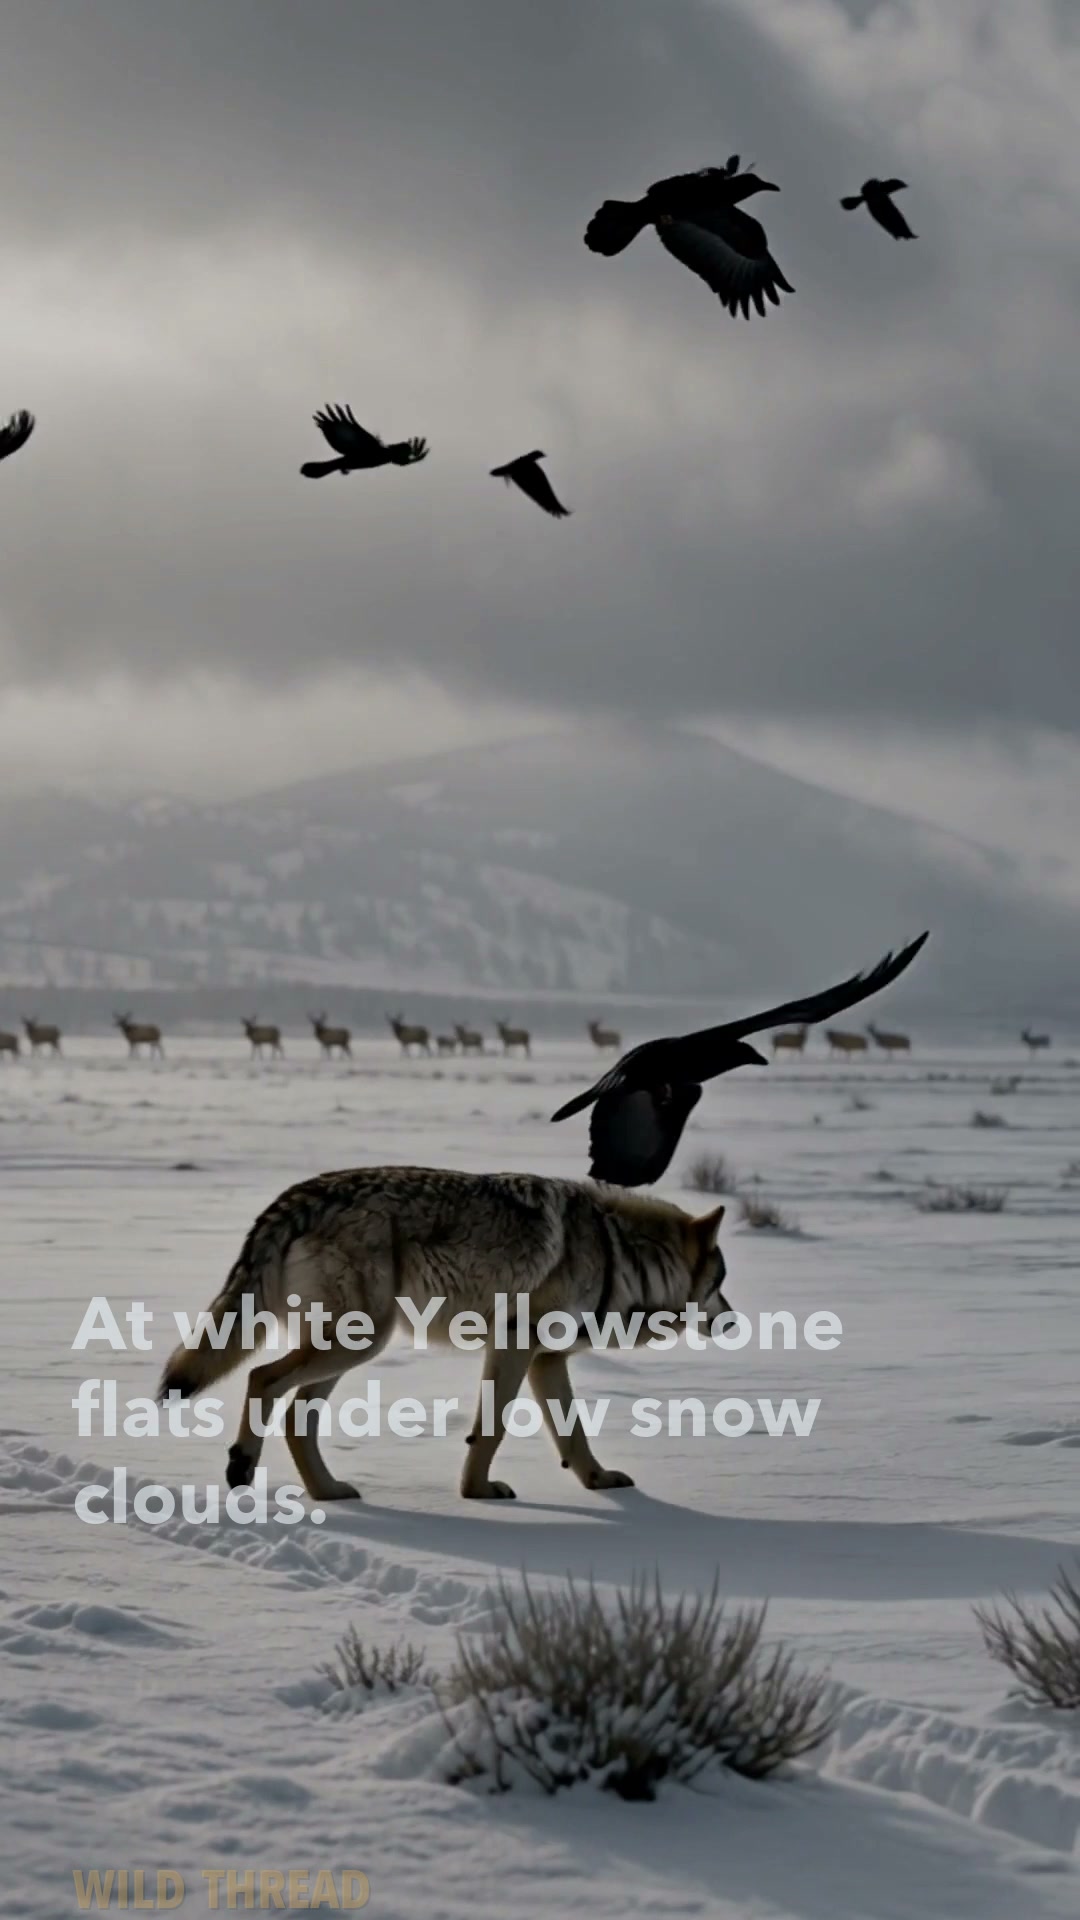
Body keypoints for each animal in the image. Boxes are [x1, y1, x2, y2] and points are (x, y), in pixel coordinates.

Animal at [159, 1166, 729, 1504]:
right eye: (721, 1283)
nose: (733, 1321)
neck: (620, 1254)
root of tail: (300, 1193)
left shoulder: (547, 1360)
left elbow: (572, 1434)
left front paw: (598, 1480)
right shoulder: (516, 1345)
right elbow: (492, 1429)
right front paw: (476, 1492)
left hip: (351, 1347)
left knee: (298, 1414)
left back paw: (327, 1491)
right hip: (359, 1341)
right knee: (261, 1377)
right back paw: (242, 1466)